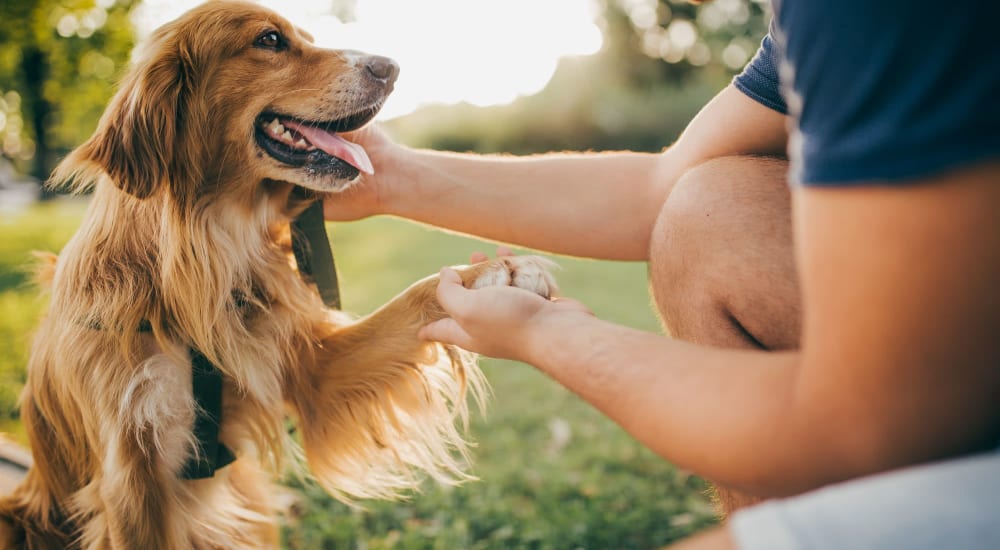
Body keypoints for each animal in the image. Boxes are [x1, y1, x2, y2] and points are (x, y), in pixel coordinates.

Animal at [0, 2, 556, 548]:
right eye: (269, 40)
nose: (392, 68)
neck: (203, 254)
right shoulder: (130, 479)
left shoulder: (310, 369)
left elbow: (414, 298)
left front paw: (497, 273)